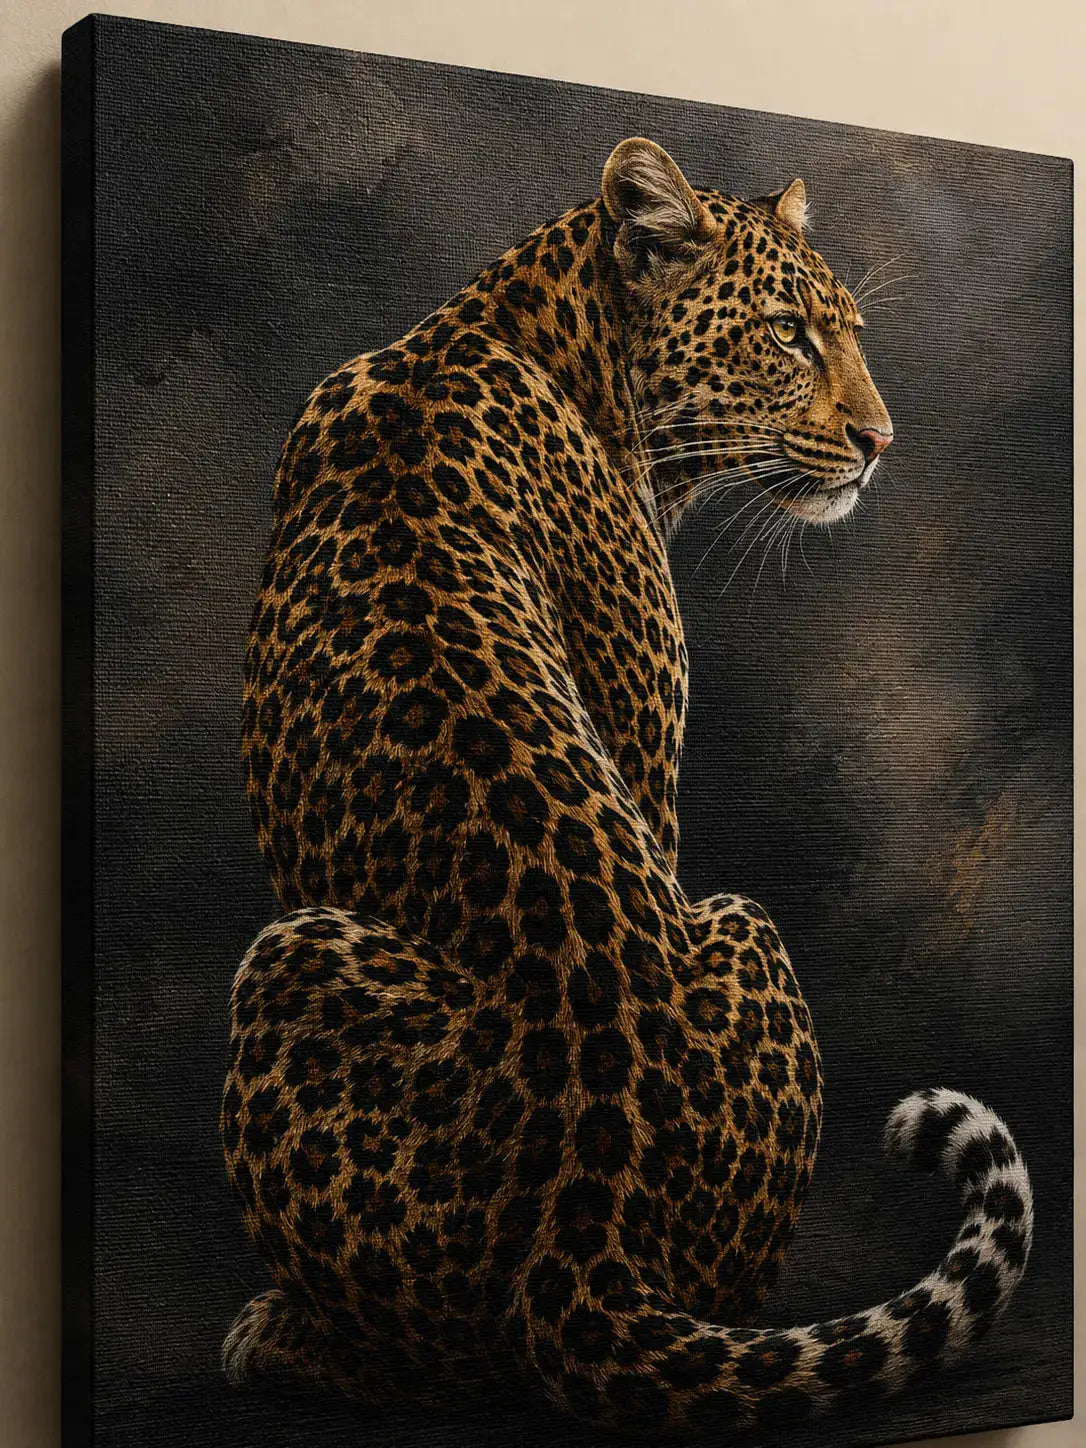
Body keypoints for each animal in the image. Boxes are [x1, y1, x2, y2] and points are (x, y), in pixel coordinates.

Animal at [221, 137, 1034, 1433]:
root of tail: (584, 1233)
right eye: (790, 335)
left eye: (848, 332)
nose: (882, 441)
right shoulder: (648, 768)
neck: (520, 324)